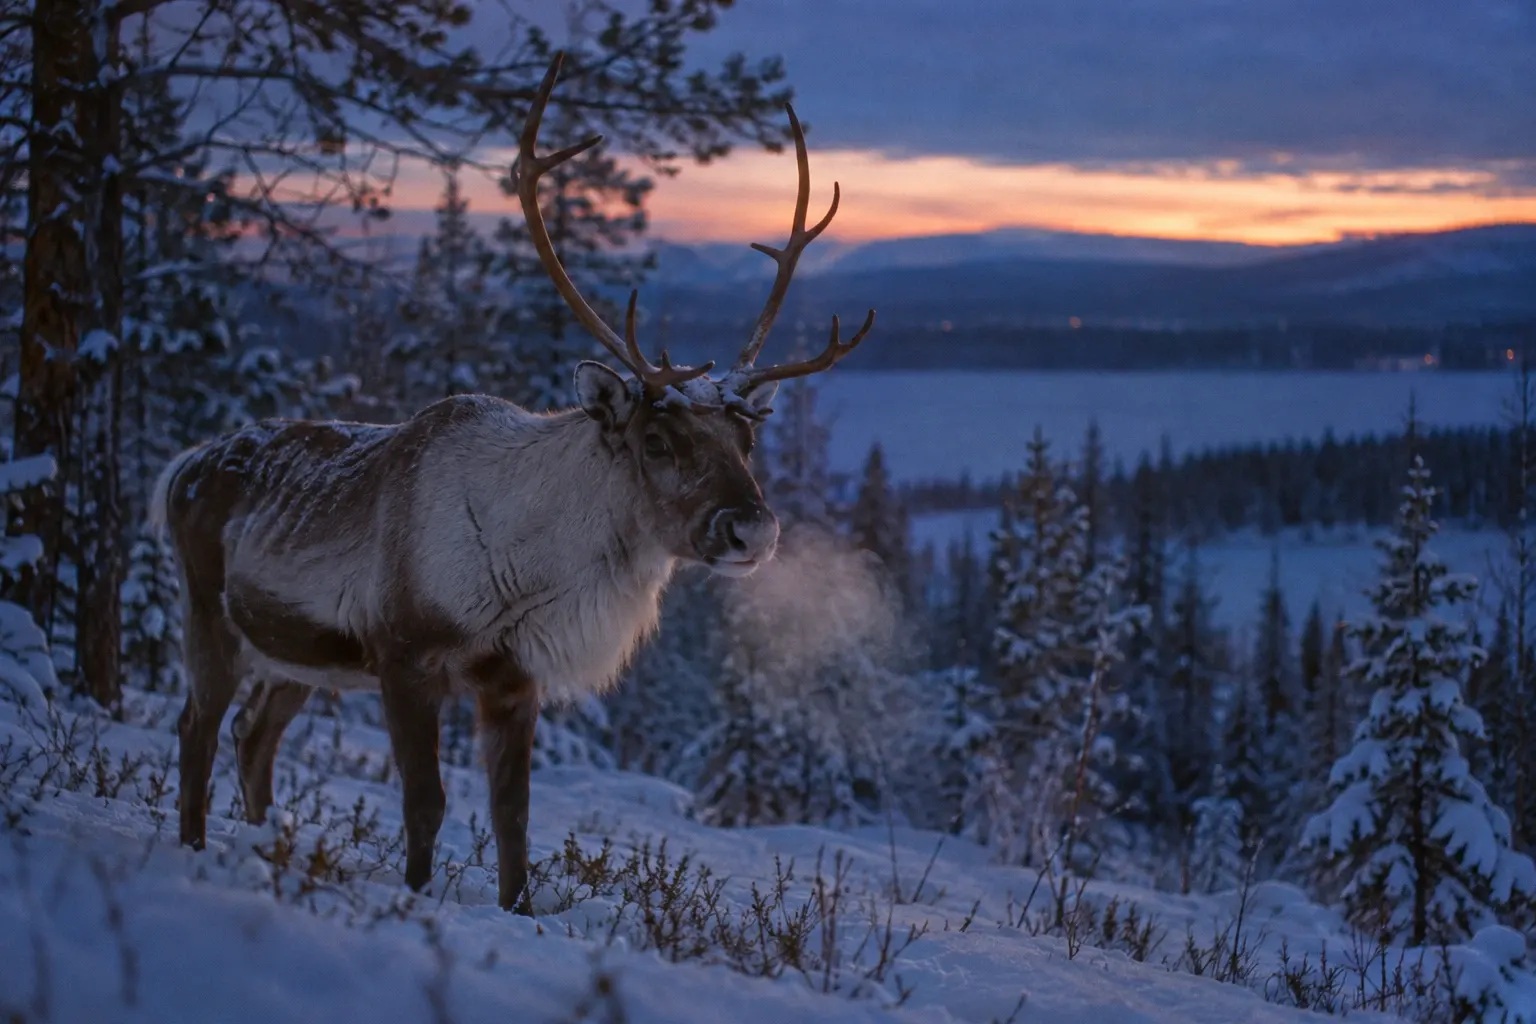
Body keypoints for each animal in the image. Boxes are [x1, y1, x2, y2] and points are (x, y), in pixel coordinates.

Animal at [149, 51, 875, 913]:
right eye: (656, 439)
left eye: (747, 437)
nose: (751, 529)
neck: (527, 570)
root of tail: (178, 468)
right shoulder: (403, 655)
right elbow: (425, 804)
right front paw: (416, 898)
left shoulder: (511, 679)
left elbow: (514, 820)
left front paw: (517, 910)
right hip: (210, 614)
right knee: (196, 725)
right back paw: (193, 847)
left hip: (301, 658)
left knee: (253, 734)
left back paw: (263, 848)